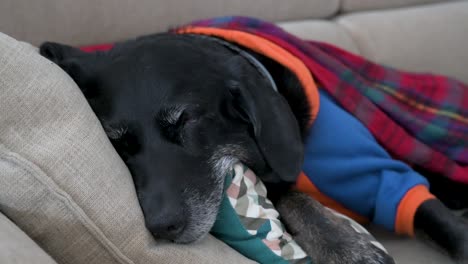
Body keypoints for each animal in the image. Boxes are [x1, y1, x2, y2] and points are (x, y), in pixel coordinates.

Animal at [41, 33, 468, 264]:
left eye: (185, 120)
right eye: (119, 144)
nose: (162, 227)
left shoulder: (373, 169)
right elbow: (289, 194)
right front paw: (340, 241)